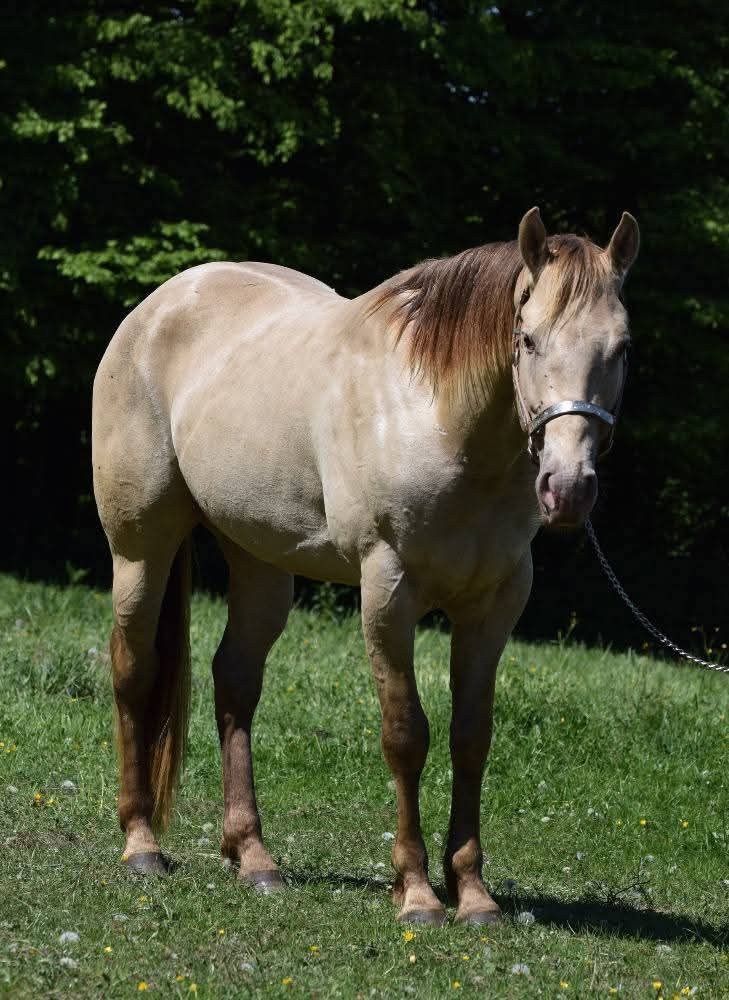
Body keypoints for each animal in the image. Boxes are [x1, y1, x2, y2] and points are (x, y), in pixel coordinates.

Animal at [92, 207, 639, 925]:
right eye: (526, 338)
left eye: (621, 347)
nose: (568, 487)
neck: (440, 423)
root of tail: (158, 306)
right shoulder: (388, 591)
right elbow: (405, 734)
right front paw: (416, 894)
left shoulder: (494, 605)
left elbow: (471, 737)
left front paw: (472, 894)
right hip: (140, 548)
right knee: (134, 669)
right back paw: (140, 844)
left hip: (259, 563)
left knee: (234, 683)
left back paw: (253, 858)